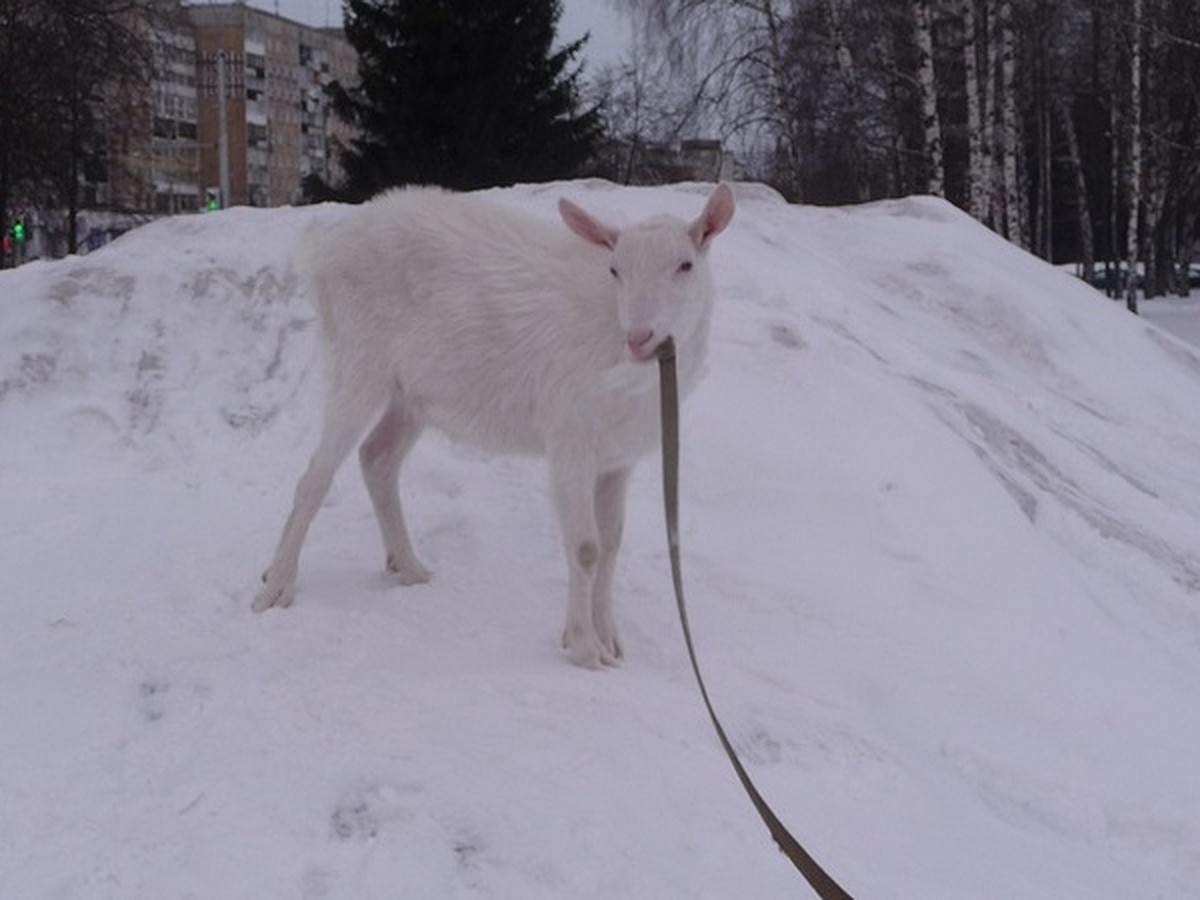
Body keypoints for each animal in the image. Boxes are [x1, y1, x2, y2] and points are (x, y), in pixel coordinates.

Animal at [258, 187, 734, 672]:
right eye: (615, 269)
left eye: (685, 265)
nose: (640, 337)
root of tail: (325, 253)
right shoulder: (570, 436)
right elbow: (586, 547)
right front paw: (585, 649)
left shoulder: (617, 458)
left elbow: (612, 543)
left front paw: (610, 640)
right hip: (360, 359)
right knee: (315, 478)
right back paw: (276, 585)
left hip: (412, 392)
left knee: (377, 457)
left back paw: (410, 567)